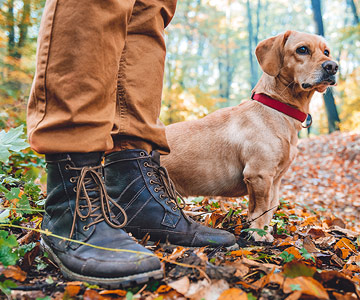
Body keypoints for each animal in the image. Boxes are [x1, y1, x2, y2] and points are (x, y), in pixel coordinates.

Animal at [162, 30, 338, 241]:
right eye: (302, 49)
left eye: (326, 51)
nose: (333, 66)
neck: (276, 109)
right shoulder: (259, 175)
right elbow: (259, 210)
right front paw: (259, 233)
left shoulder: (275, 180)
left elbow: (271, 207)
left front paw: (266, 229)